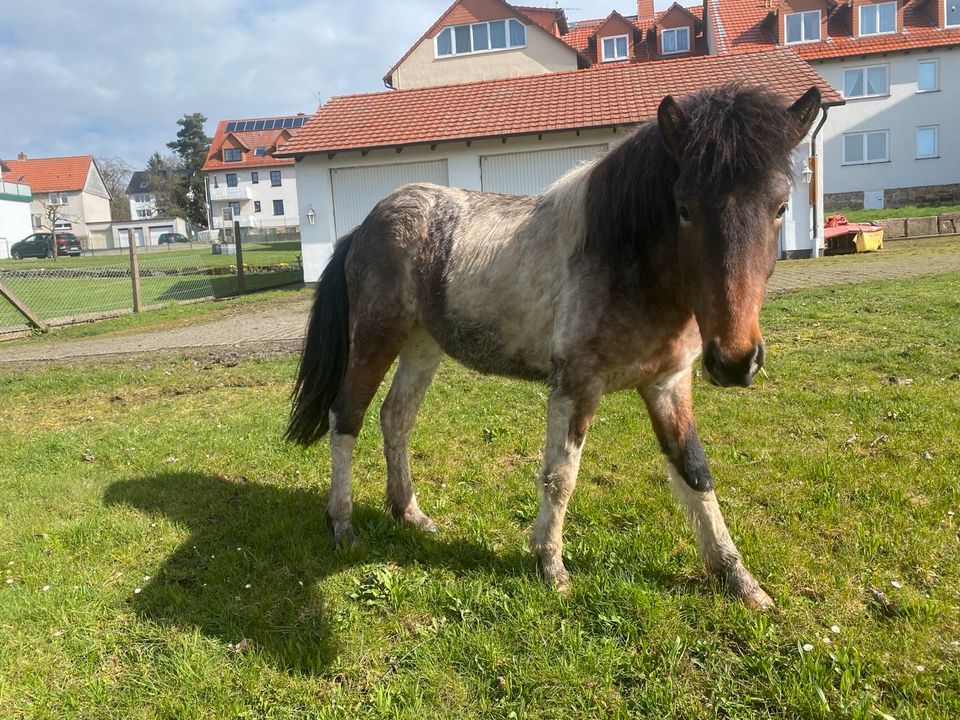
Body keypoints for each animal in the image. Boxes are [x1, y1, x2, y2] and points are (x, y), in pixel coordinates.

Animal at [284, 83, 816, 608]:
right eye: (683, 208)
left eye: (781, 207)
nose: (734, 361)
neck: (625, 259)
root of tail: (364, 226)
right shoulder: (576, 386)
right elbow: (560, 477)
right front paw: (551, 567)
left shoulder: (668, 384)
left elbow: (695, 471)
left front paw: (739, 579)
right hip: (378, 337)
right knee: (346, 417)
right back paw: (343, 525)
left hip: (422, 345)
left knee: (396, 417)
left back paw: (409, 514)